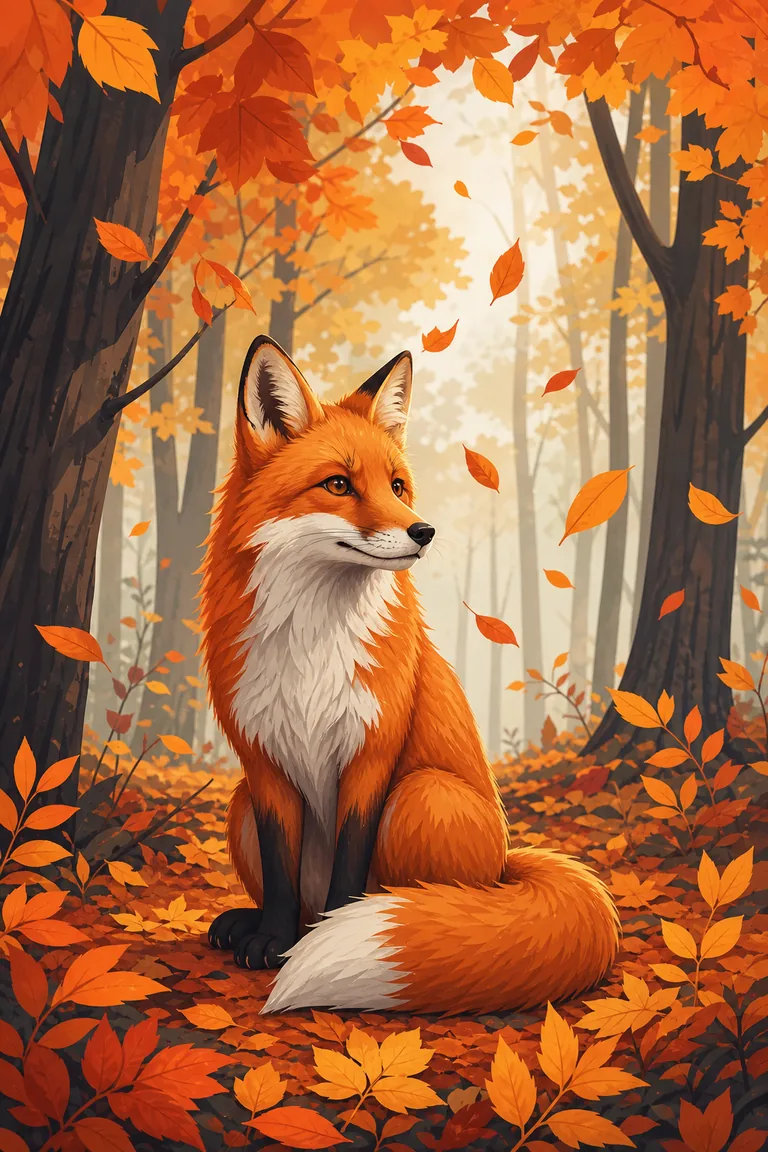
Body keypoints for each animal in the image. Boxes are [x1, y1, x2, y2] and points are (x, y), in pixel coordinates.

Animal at [199, 334, 619, 1014]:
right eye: (338, 484)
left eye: (397, 485)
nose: (423, 531)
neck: (313, 644)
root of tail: (508, 863)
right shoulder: (263, 762)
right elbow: (282, 875)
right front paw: (275, 939)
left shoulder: (373, 752)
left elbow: (349, 868)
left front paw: (322, 938)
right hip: (240, 805)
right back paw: (251, 922)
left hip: (422, 797)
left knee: (428, 896)